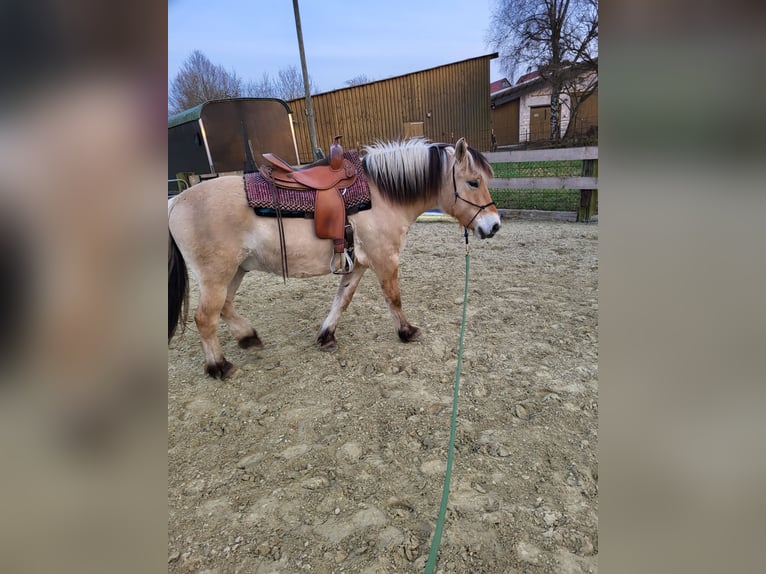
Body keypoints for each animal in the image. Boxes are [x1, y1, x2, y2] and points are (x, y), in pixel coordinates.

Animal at [168, 137, 501, 379]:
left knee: (224, 307)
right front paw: (407, 332)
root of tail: (175, 201)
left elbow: (342, 300)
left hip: (235, 271)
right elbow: (394, 299)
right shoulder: (385, 260)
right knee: (205, 318)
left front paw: (326, 335)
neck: (382, 196)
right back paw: (219, 366)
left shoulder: (358, 266)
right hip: (217, 275)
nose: (494, 225)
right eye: (473, 182)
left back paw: (248, 337)